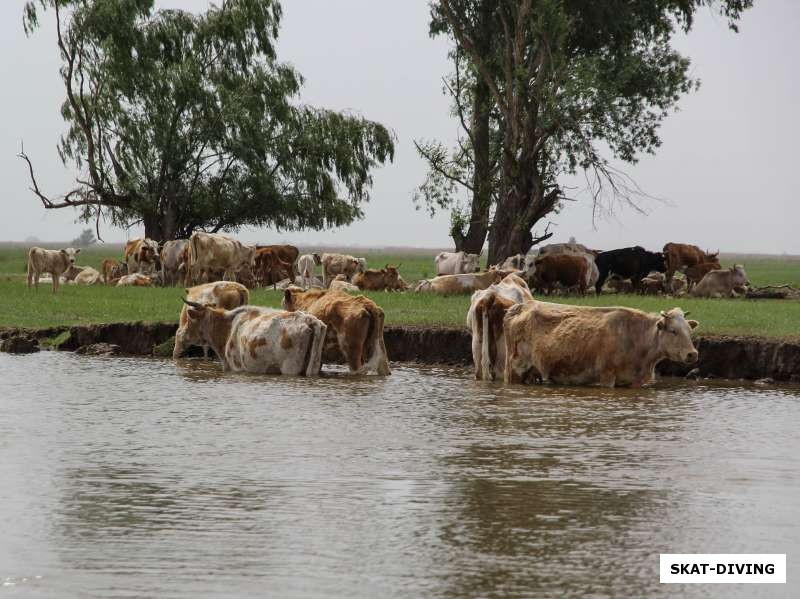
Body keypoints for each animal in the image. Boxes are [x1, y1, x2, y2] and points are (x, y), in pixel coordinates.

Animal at [506, 304, 700, 390]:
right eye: (673, 331)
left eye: (690, 331)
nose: (692, 354)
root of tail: (521, 306)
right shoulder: (607, 375)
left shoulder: (634, 381)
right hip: (515, 369)